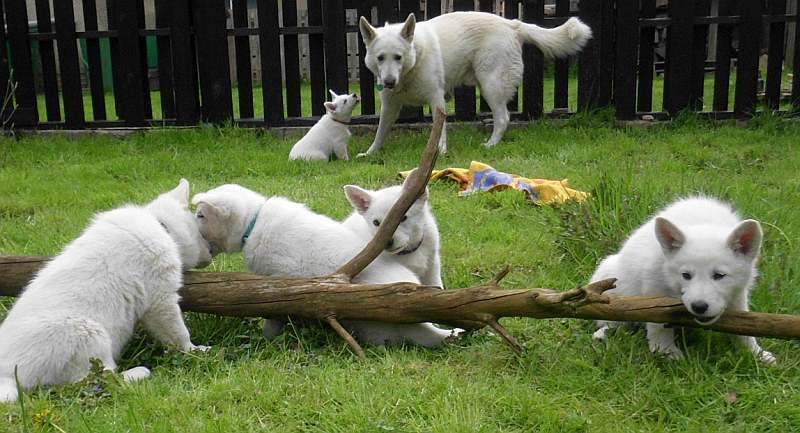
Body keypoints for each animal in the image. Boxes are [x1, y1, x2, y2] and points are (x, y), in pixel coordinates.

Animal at [0, 180, 212, 402]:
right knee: (101, 379)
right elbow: (178, 333)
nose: (211, 252)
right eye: (201, 232)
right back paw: (139, 372)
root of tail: (6, 374)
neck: (159, 225)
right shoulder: (160, 300)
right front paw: (196, 350)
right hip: (89, 334)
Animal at [592, 195, 772, 362]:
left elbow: (744, 326)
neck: (703, 220)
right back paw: (605, 333)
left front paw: (755, 353)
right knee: (611, 319)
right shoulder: (655, 285)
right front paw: (666, 352)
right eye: (686, 275)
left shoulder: (738, 292)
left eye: (719, 276)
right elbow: (659, 324)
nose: (699, 307)